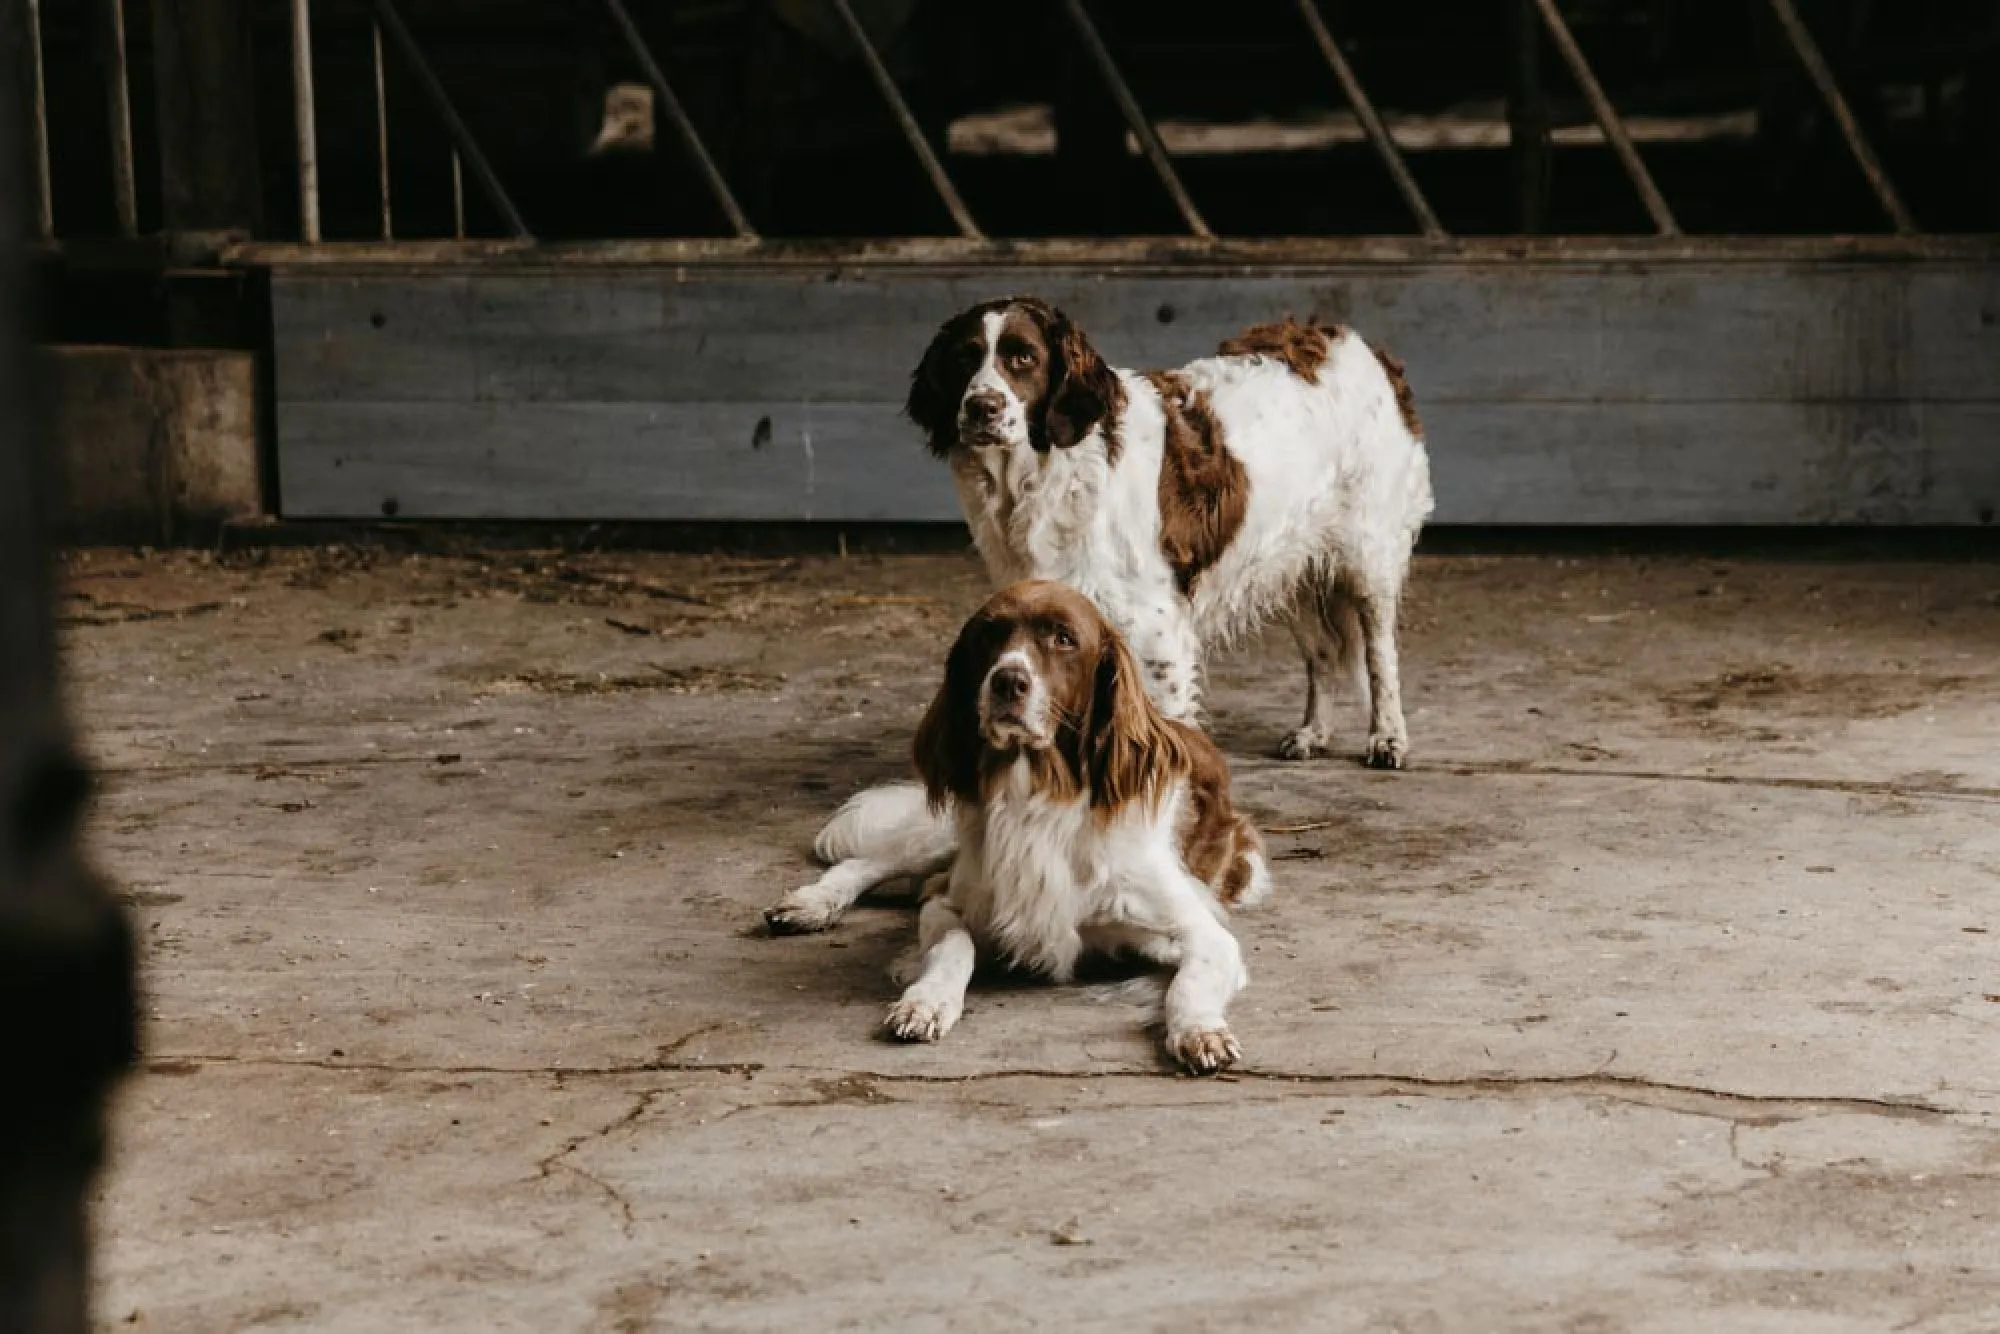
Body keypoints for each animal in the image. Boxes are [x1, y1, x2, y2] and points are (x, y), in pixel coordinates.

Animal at [756, 298, 1432, 936]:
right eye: (966, 357)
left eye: (1022, 358)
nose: (980, 407)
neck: (1049, 473)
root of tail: (1353, 341)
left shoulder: (1157, 634)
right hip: (1290, 563)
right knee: (1320, 652)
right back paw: (1313, 732)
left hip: (1366, 556)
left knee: (1379, 650)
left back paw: (1387, 737)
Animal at [888, 580, 1264, 1072]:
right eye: (990, 635)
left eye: (1063, 638)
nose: (1007, 681)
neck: (1041, 796)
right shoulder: (946, 903)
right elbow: (953, 946)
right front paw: (926, 1001)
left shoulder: (1200, 929)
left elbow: (1190, 980)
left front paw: (1201, 1030)